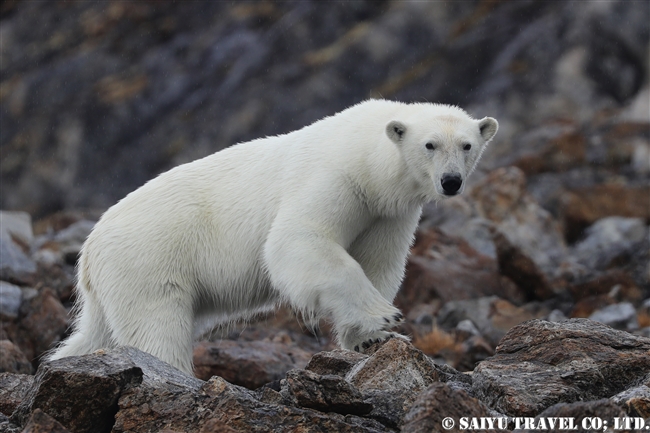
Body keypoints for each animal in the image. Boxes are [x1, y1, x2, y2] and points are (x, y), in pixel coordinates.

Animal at [48, 99, 496, 372]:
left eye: (467, 145)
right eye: (430, 145)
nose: (451, 181)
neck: (368, 160)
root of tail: (89, 249)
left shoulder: (387, 212)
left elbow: (379, 261)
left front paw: (370, 339)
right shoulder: (336, 178)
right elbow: (296, 241)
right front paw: (382, 315)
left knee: (99, 332)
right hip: (150, 260)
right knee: (155, 328)